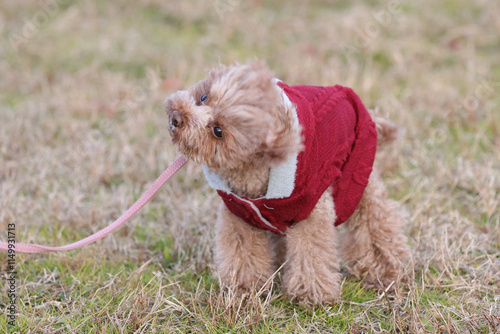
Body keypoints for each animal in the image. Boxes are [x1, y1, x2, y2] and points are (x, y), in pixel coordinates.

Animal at [166, 61, 408, 306]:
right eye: (204, 97)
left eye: (218, 131)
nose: (176, 118)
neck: (252, 171)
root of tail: (348, 95)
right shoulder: (239, 215)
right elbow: (242, 254)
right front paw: (244, 289)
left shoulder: (312, 212)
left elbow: (311, 252)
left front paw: (310, 296)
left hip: (356, 178)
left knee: (375, 224)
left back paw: (385, 272)